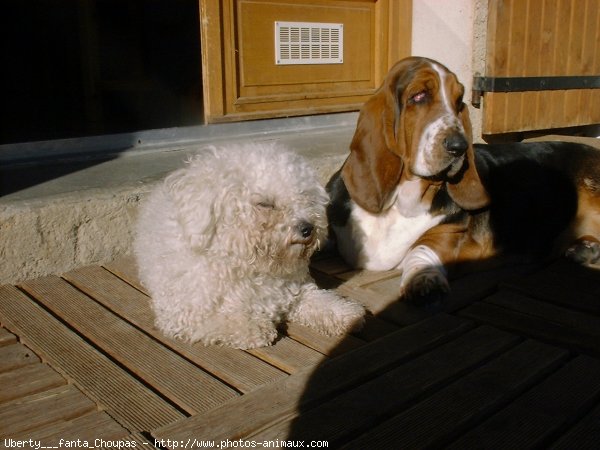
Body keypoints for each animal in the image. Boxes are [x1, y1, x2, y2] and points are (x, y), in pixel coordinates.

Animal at [135, 142, 366, 350]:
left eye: (305, 198)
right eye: (265, 204)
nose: (308, 228)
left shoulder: (295, 293)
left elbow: (319, 301)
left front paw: (346, 314)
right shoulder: (182, 313)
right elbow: (223, 320)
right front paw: (255, 326)